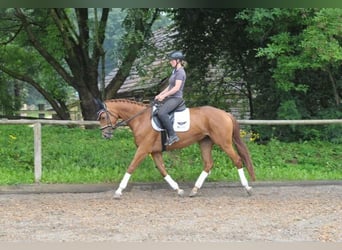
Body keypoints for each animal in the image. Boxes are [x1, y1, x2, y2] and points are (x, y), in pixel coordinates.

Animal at [95, 98, 255, 198]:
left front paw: (118, 191)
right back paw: (194, 190)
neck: (140, 119)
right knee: (208, 164)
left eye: (103, 117)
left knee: (237, 160)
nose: (105, 135)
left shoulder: (143, 149)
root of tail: (225, 113)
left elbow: (131, 167)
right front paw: (178, 190)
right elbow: (162, 170)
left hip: (224, 142)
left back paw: (247, 188)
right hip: (205, 142)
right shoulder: (155, 152)